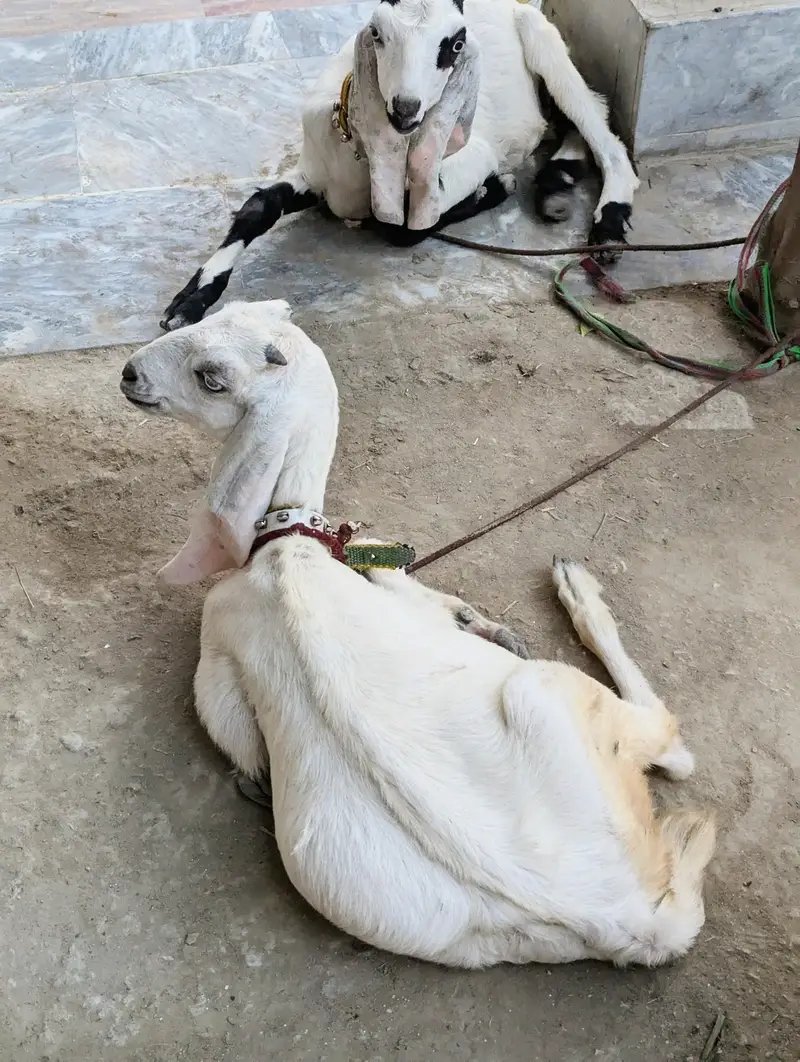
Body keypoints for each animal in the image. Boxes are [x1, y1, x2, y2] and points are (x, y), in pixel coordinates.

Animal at [121, 299, 715, 968]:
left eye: (211, 378)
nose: (129, 374)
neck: (287, 550)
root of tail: (634, 920)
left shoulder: (217, 644)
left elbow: (231, 723)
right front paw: (477, 621)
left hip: (544, 691)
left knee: (674, 747)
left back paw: (577, 587)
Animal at [160, 0, 640, 332]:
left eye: (456, 42)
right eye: (376, 32)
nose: (406, 108)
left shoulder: (468, 155)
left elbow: (404, 230)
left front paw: (495, 187)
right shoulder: (314, 172)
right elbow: (259, 206)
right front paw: (190, 300)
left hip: (543, 42)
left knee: (602, 128)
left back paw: (605, 225)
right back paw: (559, 179)